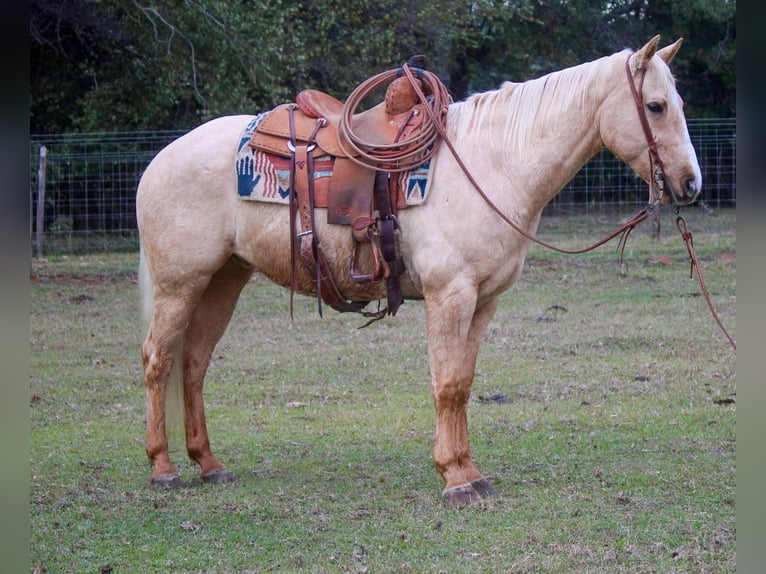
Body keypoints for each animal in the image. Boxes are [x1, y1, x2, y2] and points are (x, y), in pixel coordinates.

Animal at [136, 36, 704, 504]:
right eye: (654, 106)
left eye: (678, 104)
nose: (691, 184)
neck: (495, 162)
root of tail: (161, 158)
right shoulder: (448, 295)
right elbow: (447, 384)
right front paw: (454, 479)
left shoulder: (484, 299)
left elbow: (464, 382)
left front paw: (471, 471)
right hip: (179, 285)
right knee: (158, 361)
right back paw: (163, 469)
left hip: (224, 280)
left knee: (194, 364)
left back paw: (209, 464)